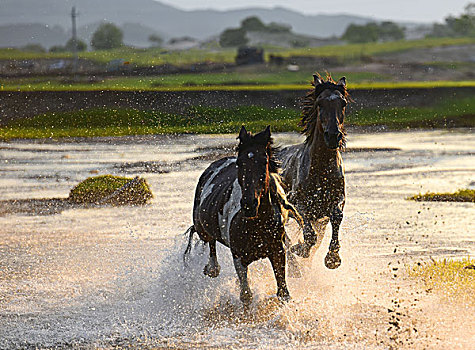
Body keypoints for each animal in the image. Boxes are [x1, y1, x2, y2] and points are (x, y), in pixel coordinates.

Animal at [184, 126, 304, 306]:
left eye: (264, 162)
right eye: (240, 162)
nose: (249, 205)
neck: (258, 224)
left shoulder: (277, 252)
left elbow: (283, 292)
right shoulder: (239, 257)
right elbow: (246, 295)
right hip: (201, 228)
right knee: (210, 242)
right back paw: (212, 268)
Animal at [278, 75, 350, 270]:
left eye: (343, 103)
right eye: (319, 103)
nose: (333, 136)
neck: (320, 170)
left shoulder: (334, 203)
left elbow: (337, 217)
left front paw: (333, 258)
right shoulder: (298, 203)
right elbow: (309, 236)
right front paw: (299, 248)